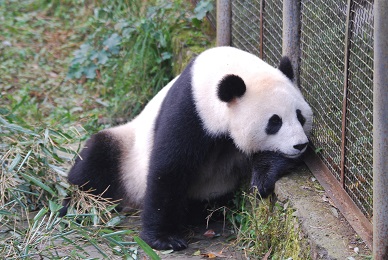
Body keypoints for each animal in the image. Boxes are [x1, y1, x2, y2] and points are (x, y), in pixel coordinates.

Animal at [63, 45, 312, 251]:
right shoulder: (191, 109)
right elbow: (169, 168)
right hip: (126, 150)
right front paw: (164, 239)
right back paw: (79, 206)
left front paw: (262, 178)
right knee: (95, 161)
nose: (300, 144)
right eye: (274, 122)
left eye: (300, 116)